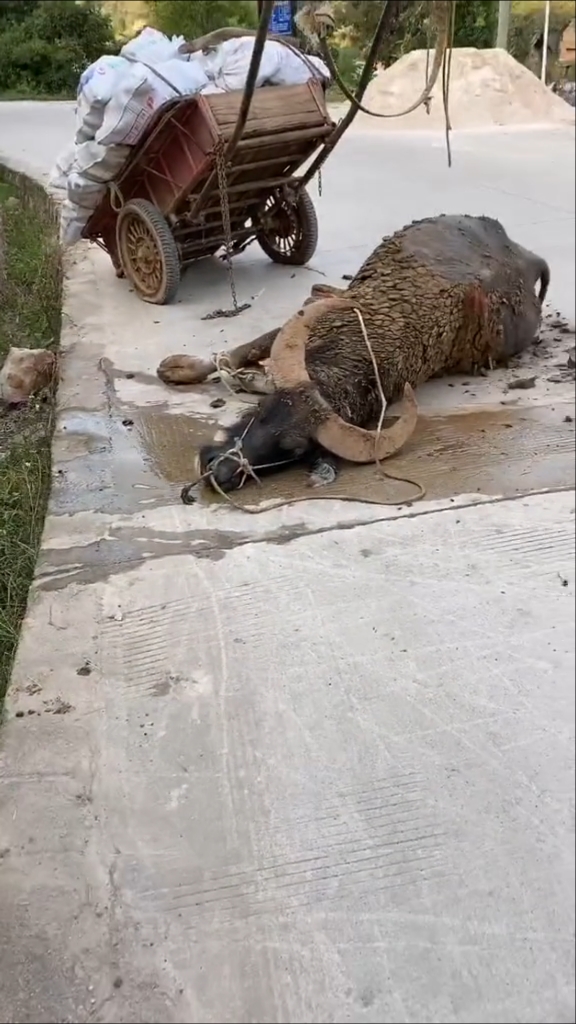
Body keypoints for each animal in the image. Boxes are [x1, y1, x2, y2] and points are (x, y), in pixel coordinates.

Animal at [155, 211, 545, 491]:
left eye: (294, 449)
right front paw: (182, 367)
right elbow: (246, 347)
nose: (219, 472)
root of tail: (526, 256)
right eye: (261, 412)